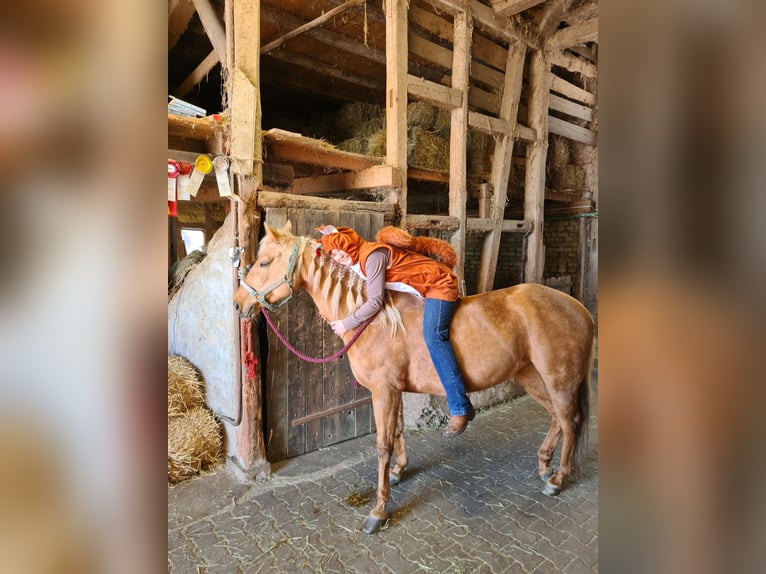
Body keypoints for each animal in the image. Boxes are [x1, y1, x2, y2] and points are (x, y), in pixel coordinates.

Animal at [233, 221, 595, 535]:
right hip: (531, 377)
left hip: (558, 379)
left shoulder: (383, 391)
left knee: (570, 420)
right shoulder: (394, 390)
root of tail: (577, 306)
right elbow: (397, 432)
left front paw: (379, 510)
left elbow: (383, 444)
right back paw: (545, 465)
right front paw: (398, 471)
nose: (238, 304)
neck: (375, 321)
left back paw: (557, 479)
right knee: (557, 418)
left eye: (264, 262)